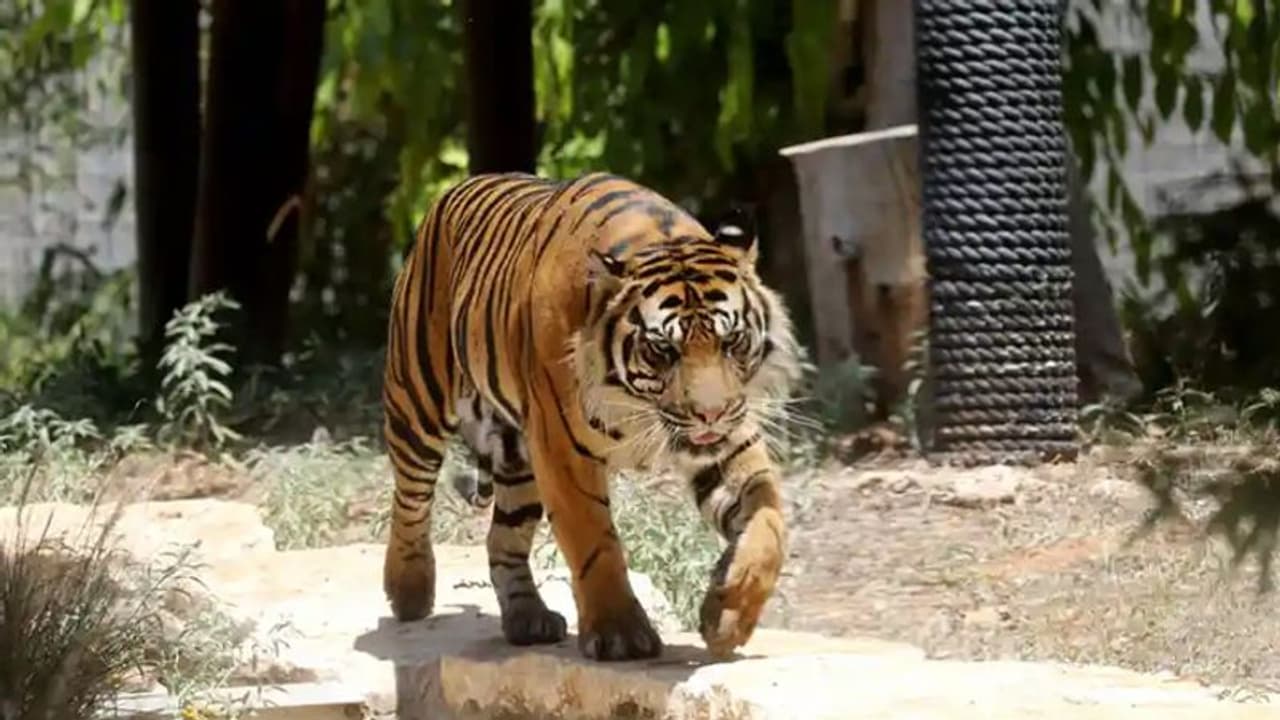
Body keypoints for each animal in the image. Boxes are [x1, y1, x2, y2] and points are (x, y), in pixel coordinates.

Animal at [381, 171, 802, 661]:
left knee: (502, 537)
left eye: (731, 341)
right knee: (410, 498)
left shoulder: (729, 442)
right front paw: (620, 634)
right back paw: (409, 590)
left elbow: (768, 524)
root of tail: (456, 190)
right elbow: (593, 541)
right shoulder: (562, 450)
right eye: (663, 349)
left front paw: (728, 614)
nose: (710, 414)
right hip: (417, 400)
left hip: (517, 459)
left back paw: (528, 619)